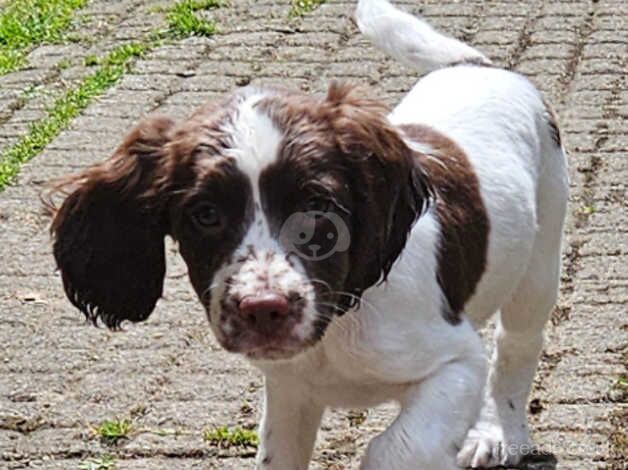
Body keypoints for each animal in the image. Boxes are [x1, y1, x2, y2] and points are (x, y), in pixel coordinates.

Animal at [49, 0, 568, 470]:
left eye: (317, 210)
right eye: (205, 214)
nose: (263, 310)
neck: (339, 318)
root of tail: (478, 68)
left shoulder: (454, 364)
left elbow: (396, 448)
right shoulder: (290, 389)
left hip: (540, 265)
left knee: (514, 352)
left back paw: (499, 434)